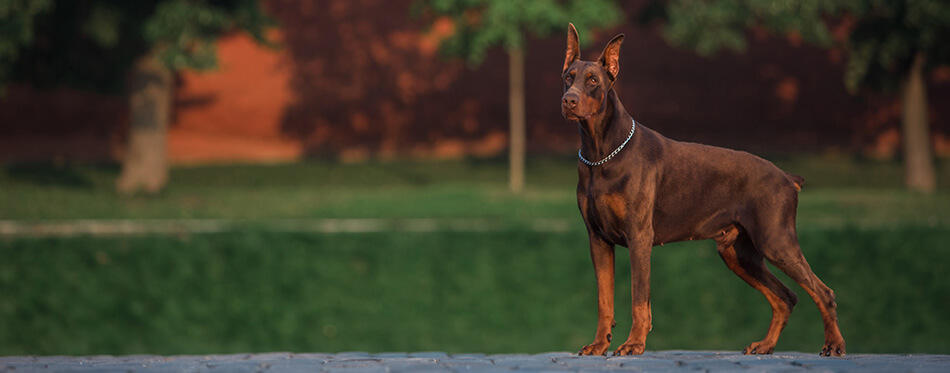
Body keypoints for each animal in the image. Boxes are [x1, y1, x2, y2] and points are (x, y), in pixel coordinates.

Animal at [556, 23, 848, 354]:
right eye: (569, 77)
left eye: (593, 80)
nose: (569, 100)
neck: (600, 153)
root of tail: (787, 176)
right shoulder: (598, 239)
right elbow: (604, 301)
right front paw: (598, 345)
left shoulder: (639, 237)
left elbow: (639, 299)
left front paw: (634, 344)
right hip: (738, 253)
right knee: (787, 296)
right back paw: (765, 345)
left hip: (775, 240)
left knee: (822, 292)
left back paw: (834, 344)